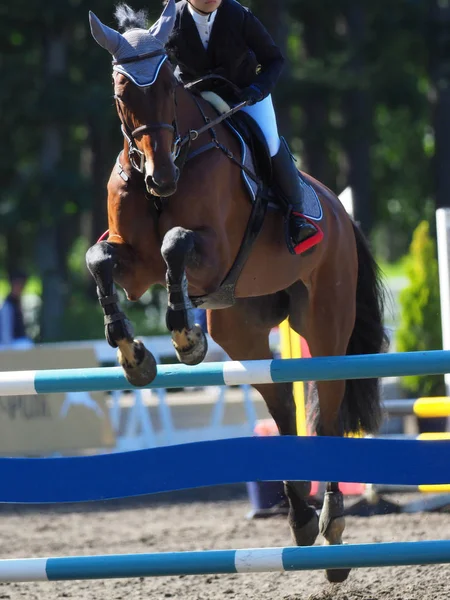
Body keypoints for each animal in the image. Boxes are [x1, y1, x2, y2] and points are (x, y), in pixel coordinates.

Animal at [86, 0, 388, 580]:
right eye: (121, 90)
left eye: (166, 87)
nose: (161, 178)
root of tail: (340, 213)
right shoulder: (134, 267)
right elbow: (100, 261)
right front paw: (135, 356)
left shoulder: (212, 253)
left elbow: (176, 244)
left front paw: (184, 339)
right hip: (244, 333)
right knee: (283, 405)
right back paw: (298, 517)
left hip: (325, 325)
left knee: (326, 411)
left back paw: (333, 530)